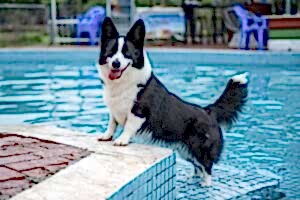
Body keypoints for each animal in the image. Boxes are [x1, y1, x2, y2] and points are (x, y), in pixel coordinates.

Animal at [96, 17, 248, 186]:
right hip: (186, 151)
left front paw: (121, 140)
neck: (125, 82)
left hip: (200, 148)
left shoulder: (138, 112)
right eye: (111, 52)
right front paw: (106, 136)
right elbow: (111, 124)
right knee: (198, 167)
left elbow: (128, 127)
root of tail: (209, 111)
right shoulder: (114, 110)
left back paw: (205, 186)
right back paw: (193, 179)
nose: (115, 64)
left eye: (126, 53)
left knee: (207, 167)